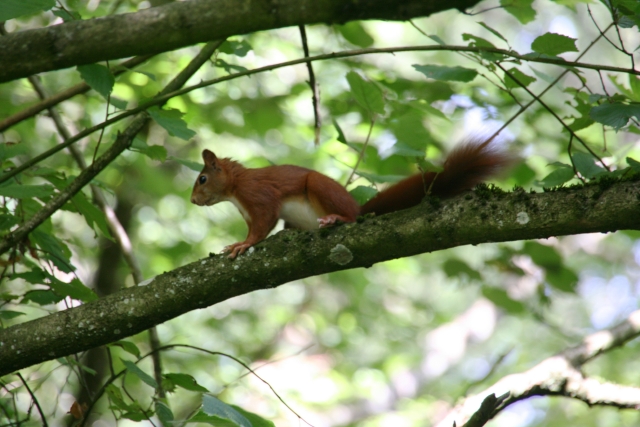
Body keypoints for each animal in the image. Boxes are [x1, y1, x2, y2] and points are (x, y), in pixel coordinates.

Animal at [191, 140, 516, 260]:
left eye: (202, 179)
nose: (193, 200)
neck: (235, 189)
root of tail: (357, 207)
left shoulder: (257, 195)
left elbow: (262, 225)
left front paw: (244, 244)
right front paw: (238, 242)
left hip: (320, 188)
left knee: (347, 216)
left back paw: (338, 218)